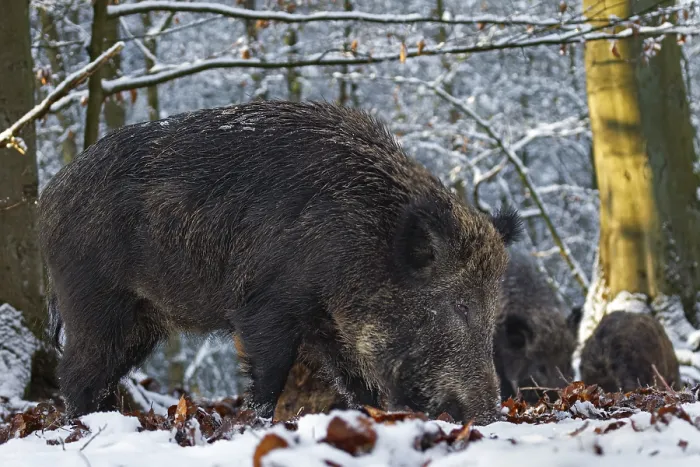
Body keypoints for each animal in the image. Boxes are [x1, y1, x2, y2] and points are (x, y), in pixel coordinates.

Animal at [39, 100, 523, 424]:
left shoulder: (332, 328)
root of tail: (49, 198)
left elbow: (358, 384)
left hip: (142, 321)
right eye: (459, 306)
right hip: (97, 302)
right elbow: (270, 376)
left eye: (493, 314)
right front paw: (258, 426)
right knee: (74, 373)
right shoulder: (266, 306)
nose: (491, 416)